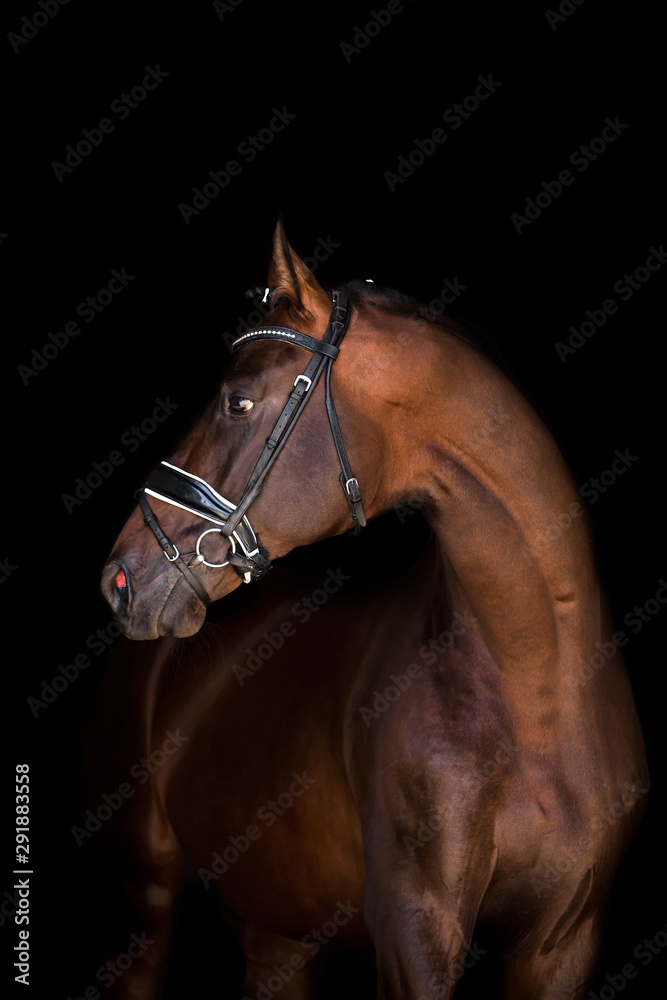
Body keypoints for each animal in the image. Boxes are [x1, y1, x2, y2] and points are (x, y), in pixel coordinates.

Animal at [90, 221, 648, 998]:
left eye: (237, 402)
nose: (120, 577)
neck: (537, 694)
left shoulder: (562, 944)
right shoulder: (416, 934)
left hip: (276, 933)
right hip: (142, 906)